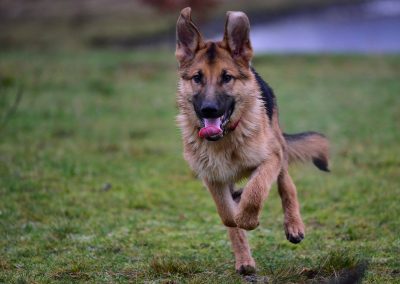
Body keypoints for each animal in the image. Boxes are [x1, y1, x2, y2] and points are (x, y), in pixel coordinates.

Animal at [175, 7, 328, 276]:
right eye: (197, 78)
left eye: (227, 77)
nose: (209, 109)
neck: (225, 139)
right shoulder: (212, 178)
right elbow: (227, 216)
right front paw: (238, 221)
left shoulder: (270, 159)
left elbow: (256, 191)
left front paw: (248, 218)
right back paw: (244, 261)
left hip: (279, 149)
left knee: (286, 185)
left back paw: (293, 225)